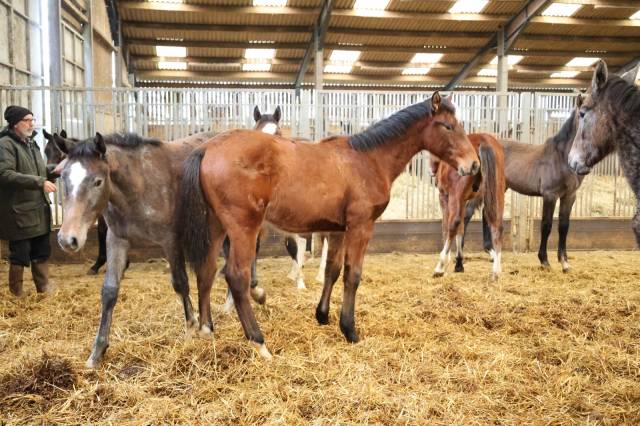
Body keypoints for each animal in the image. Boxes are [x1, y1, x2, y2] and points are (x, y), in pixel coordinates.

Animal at [52, 131, 213, 368]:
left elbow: (180, 283)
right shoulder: (116, 240)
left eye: (98, 181)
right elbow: (109, 291)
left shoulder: (171, 241)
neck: (139, 185)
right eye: (64, 178)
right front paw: (97, 353)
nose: (67, 239)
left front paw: (191, 330)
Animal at [176, 92, 480, 358]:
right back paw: (259, 343)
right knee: (236, 277)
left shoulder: (337, 230)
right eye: (448, 126)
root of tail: (207, 148)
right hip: (244, 228)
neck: (368, 160)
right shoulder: (361, 227)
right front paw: (350, 330)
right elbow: (352, 275)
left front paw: (322, 315)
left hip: (216, 226)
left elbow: (332, 271)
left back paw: (206, 330)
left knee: (206, 270)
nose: (474, 165)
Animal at [432, 133, 505, 280]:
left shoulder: (446, 196)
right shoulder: (463, 200)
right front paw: (459, 264)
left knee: (453, 223)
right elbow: (461, 227)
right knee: (497, 225)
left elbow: (448, 226)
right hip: (497, 192)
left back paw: (439, 267)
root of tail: (483, 141)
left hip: (455, 195)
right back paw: (496, 271)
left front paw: (448, 262)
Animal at [465, 96, 586, 273]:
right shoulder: (550, 195)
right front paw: (544, 261)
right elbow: (546, 226)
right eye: (581, 113)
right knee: (467, 213)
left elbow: (564, 227)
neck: (561, 156)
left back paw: (492, 253)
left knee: (486, 214)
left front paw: (564, 263)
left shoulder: (570, 196)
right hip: (481, 188)